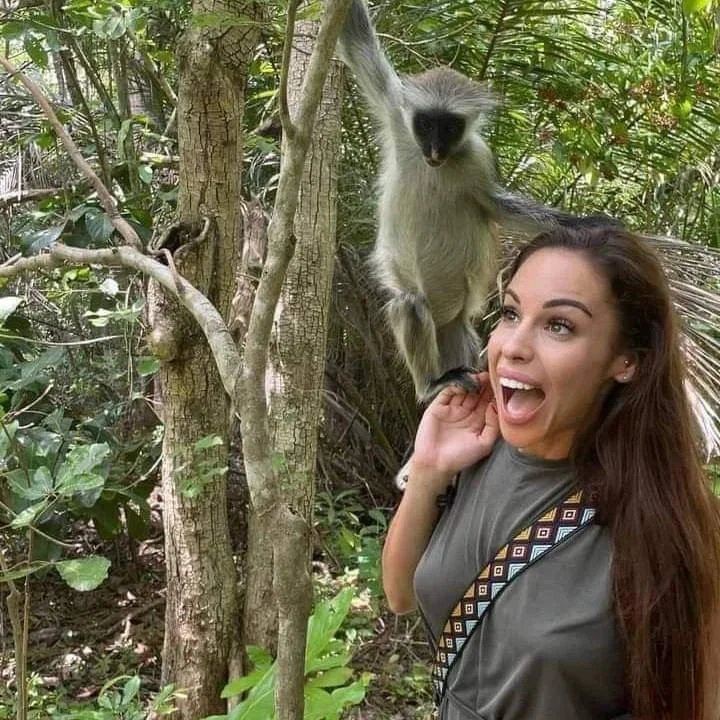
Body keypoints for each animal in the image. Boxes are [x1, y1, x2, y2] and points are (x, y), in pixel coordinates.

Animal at [337, 0, 620, 404]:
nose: (435, 150)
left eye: (450, 126)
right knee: (410, 304)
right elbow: (356, 42)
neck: (438, 164)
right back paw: (432, 384)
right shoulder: (397, 116)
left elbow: (496, 204)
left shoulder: (476, 158)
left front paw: (585, 224)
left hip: (455, 322)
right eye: (426, 124)